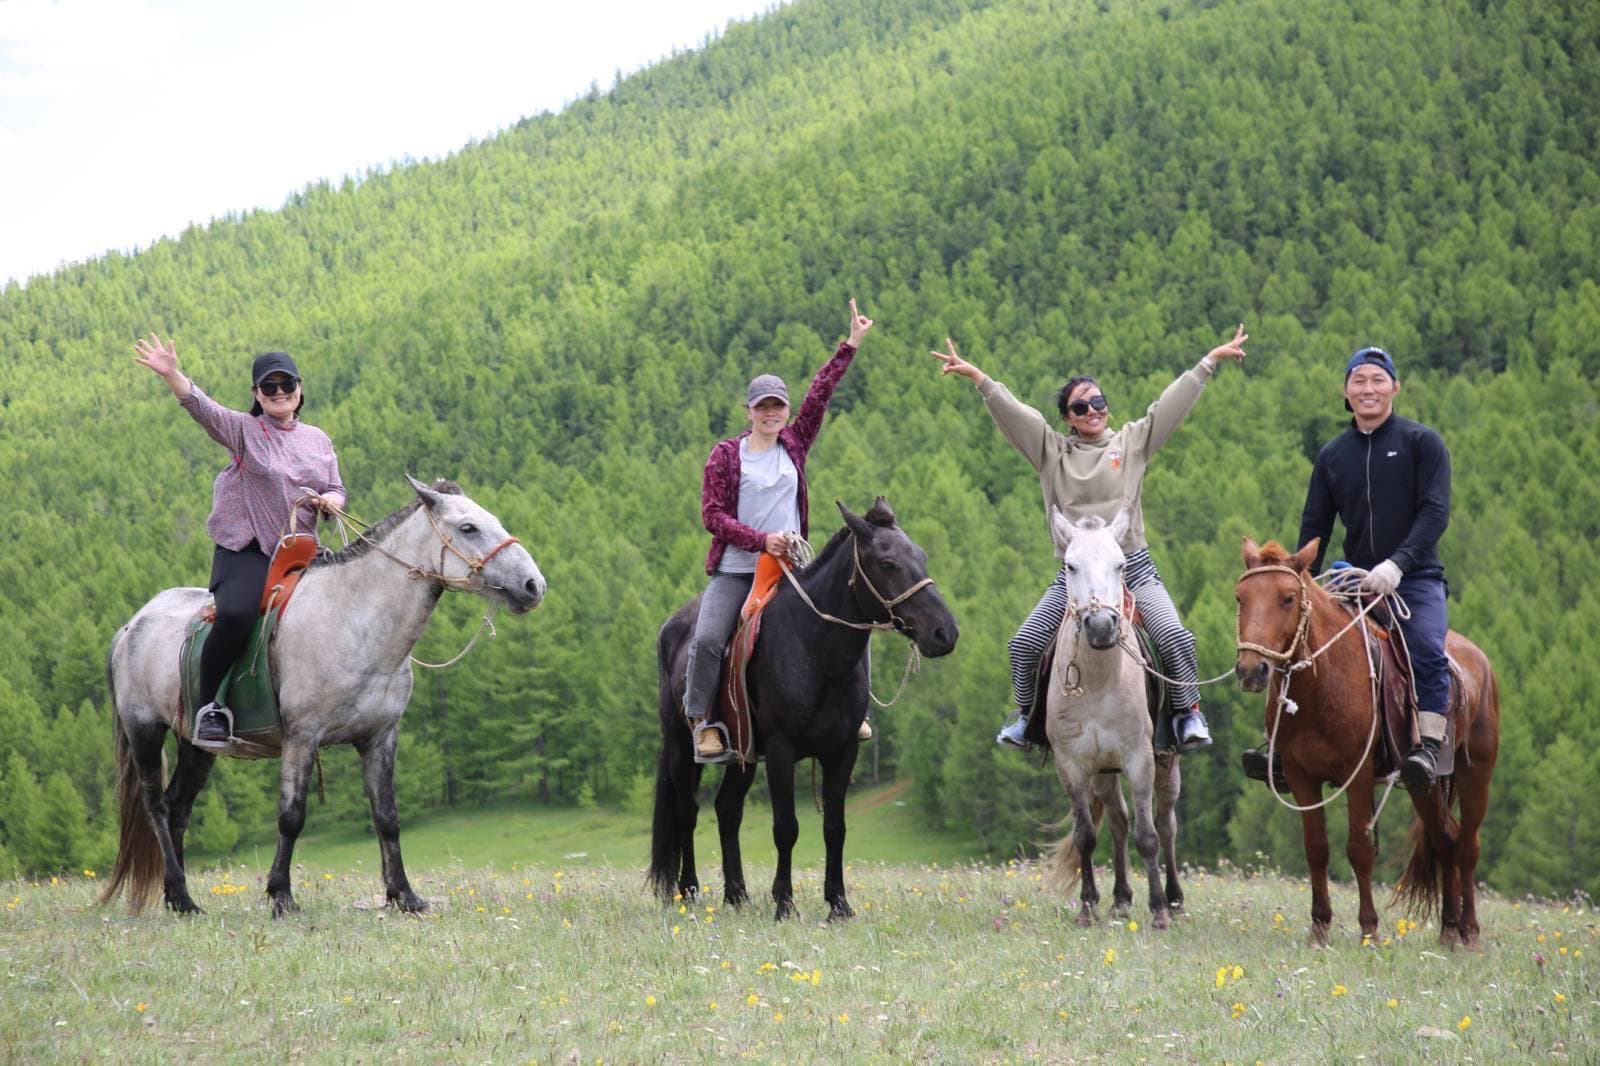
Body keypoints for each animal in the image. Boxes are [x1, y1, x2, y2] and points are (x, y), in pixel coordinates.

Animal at [99, 476, 546, 917]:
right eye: (468, 528)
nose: (534, 585)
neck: (353, 620)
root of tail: (131, 626)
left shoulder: (380, 738)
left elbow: (387, 817)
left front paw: (404, 895)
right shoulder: (301, 737)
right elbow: (291, 817)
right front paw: (281, 896)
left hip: (195, 745)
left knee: (178, 807)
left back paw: (179, 900)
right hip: (144, 729)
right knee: (157, 806)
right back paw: (181, 893)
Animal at [649, 497, 958, 920]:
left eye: (922, 557)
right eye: (887, 564)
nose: (945, 633)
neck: (814, 647)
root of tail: (672, 626)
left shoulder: (843, 751)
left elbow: (835, 828)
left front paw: (839, 904)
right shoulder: (782, 751)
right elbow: (786, 828)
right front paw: (784, 904)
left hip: (744, 754)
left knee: (727, 810)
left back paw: (737, 894)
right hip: (683, 747)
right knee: (687, 812)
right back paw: (689, 891)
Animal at [1040, 510, 1181, 930]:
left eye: (1121, 565)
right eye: (1070, 566)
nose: (1101, 626)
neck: (1101, 680)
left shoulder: (1140, 759)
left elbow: (1148, 836)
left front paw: (1159, 911)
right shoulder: (1071, 764)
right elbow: (1086, 835)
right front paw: (1088, 906)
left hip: (1167, 762)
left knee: (1166, 823)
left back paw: (1174, 899)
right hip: (1103, 772)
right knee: (1118, 820)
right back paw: (1120, 899)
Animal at [1234, 537, 1500, 948]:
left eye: (1288, 598)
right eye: (1240, 598)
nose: (1251, 670)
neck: (1323, 682)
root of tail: (1478, 660)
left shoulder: (1357, 775)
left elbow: (1359, 850)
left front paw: (1369, 929)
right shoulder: (1300, 776)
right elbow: (1316, 849)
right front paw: (1319, 928)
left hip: (1476, 775)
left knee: (1468, 846)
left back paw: (1469, 931)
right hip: (1425, 785)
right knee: (1444, 841)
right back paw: (1448, 930)